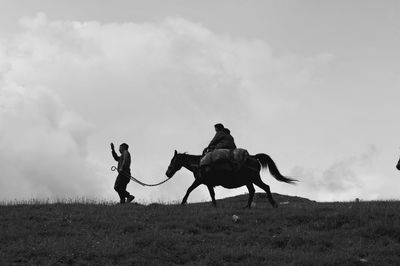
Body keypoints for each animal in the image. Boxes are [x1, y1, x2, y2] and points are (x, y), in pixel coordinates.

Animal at [166, 151, 296, 209]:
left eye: (173, 160)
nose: (167, 173)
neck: (199, 164)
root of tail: (253, 157)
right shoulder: (207, 184)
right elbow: (212, 194)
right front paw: (215, 205)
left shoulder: (200, 181)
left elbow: (189, 189)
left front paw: (183, 202)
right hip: (249, 181)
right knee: (252, 191)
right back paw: (247, 206)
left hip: (254, 179)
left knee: (266, 187)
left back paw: (273, 204)